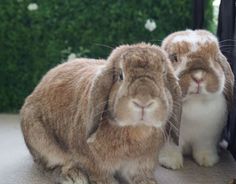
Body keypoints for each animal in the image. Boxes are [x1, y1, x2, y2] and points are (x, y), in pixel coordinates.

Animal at [20, 43, 183, 184]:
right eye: (120, 75)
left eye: (163, 74)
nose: (143, 100)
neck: (135, 130)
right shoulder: (93, 163)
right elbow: (101, 177)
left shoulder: (141, 163)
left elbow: (140, 176)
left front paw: (148, 182)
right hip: (40, 139)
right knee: (50, 165)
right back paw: (73, 177)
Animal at [159, 29, 234, 169]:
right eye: (174, 57)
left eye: (215, 58)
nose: (198, 76)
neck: (195, 102)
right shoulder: (169, 137)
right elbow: (171, 148)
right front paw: (171, 163)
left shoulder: (208, 138)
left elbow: (205, 148)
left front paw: (208, 161)